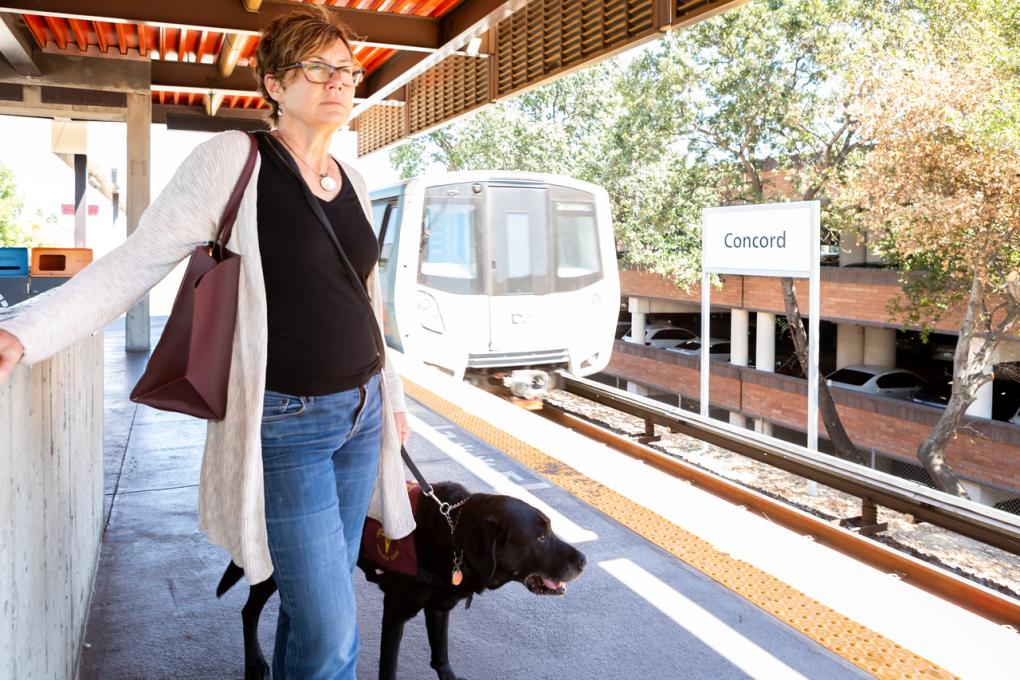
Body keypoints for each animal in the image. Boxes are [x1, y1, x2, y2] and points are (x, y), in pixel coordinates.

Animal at [219, 481, 587, 676]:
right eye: (540, 538)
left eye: (550, 529)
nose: (583, 561)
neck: (451, 537)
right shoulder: (395, 610)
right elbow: (389, 665)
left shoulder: (439, 608)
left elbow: (441, 657)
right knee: (248, 611)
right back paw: (255, 662)